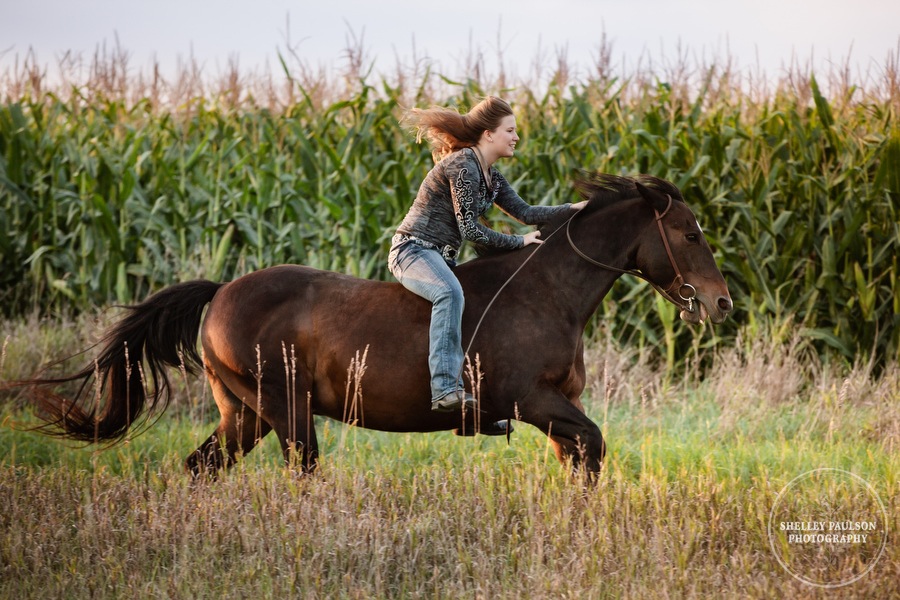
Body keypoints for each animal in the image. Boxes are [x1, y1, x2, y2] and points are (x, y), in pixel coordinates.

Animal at [15, 172, 732, 478]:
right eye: (688, 231)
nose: (721, 303)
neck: (547, 294)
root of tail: (219, 295)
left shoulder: (556, 410)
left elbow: (583, 456)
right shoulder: (533, 401)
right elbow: (593, 445)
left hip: (242, 412)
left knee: (201, 467)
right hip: (285, 409)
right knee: (299, 473)